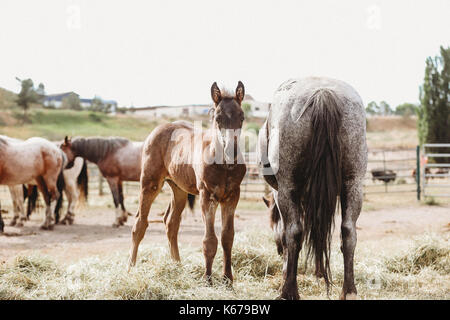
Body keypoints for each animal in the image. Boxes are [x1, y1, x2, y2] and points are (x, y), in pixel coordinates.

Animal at [126, 81, 246, 284]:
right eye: (218, 118)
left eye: (242, 117)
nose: (232, 151)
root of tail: (160, 128)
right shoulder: (207, 196)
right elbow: (209, 240)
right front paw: (207, 279)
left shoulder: (232, 196)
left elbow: (227, 237)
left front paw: (228, 280)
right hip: (150, 183)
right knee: (139, 224)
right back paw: (131, 269)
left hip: (179, 189)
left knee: (171, 223)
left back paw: (177, 266)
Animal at [258, 77, 368, 300]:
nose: (277, 251)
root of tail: (322, 93)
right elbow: (319, 233)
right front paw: (319, 272)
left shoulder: (281, 193)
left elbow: (289, 235)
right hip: (353, 185)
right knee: (348, 233)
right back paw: (349, 290)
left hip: (287, 189)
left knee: (294, 233)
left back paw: (288, 290)